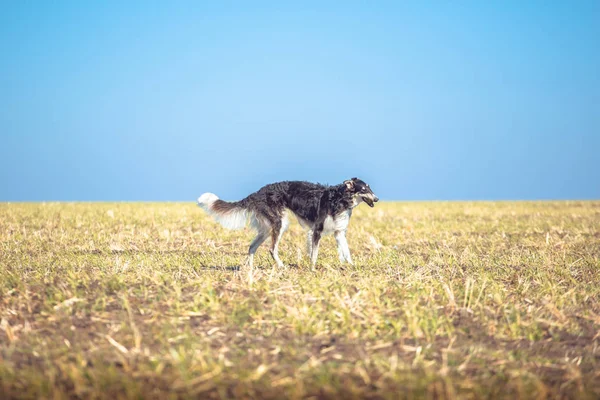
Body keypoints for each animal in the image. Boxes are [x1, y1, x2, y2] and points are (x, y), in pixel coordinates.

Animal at [197, 178, 378, 268]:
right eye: (363, 190)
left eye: (370, 188)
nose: (377, 198)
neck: (339, 198)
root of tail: (257, 193)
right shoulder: (317, 230)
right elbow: (314, 255)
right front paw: (312, 270)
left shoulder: (339, 232)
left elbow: (347, 253)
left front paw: (353, 268)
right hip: (279, 224)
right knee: (271, 249)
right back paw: (282, 267)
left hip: (267, 228)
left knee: (252, 247)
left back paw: (249, 270)